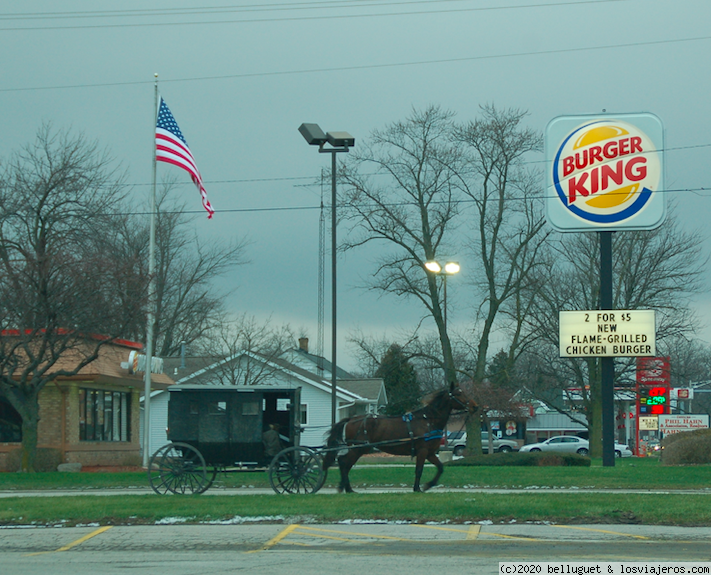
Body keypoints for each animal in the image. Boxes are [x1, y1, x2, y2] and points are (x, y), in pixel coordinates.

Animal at [322, 384, 478, 492]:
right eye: (458, 394)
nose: (475, 406)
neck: (428, 420)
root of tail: (351, 419)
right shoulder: (422, 451)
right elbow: (419, 470)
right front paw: (417, 488)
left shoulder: (430, 452)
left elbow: (440, 468)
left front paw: (428, 485)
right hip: (358, 448)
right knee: (344, 462)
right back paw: (347, 488)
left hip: (358, 449)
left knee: (345, 464)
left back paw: (345, 487)